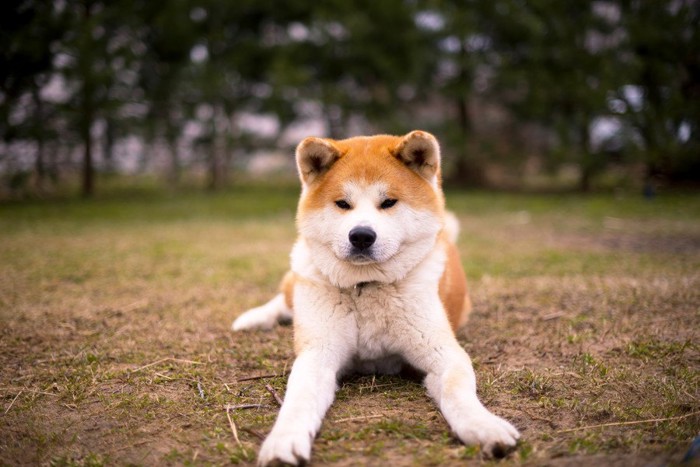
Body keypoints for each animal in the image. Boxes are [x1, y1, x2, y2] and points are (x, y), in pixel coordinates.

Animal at [234, 131, 520, 464]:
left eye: (388, 202)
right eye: (343, 204)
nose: (361, 235)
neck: (366, 286)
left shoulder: (443, 353)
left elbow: (457, 390)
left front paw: (484, 426)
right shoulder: (318, 354)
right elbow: (298, 399)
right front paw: (283, 440)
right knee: (284, 298)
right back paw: (254, 318)